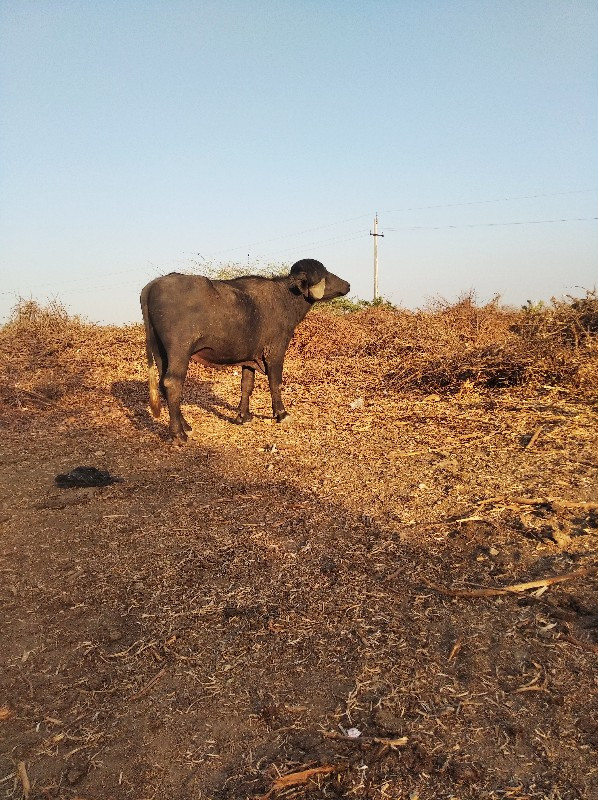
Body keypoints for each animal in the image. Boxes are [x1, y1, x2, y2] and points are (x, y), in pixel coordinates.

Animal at [141, 258, 352, 440]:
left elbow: (247, 385)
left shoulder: (250, 358)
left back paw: (185, 425)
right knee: (172, 384)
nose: (347, 285)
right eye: (326, 274)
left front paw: (243, 416)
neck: (285, 298)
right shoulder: (275, 351)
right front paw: (282, 414)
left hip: (160, 353)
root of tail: (151, 286)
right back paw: (178, 434)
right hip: (179, 352)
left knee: (163, 384)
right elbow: (275, 383)